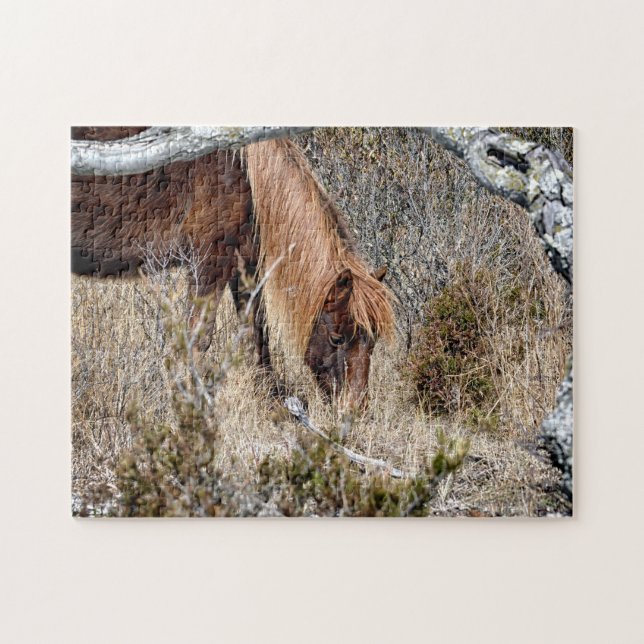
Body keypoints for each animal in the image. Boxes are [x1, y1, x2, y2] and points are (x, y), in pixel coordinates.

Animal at [71, 127, 395, 408]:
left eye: (373, 341)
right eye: (337, 338)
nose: (354, 409)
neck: (246, 177)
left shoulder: (246, 266)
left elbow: (257, 335)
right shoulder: (209, 264)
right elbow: (199, 338)